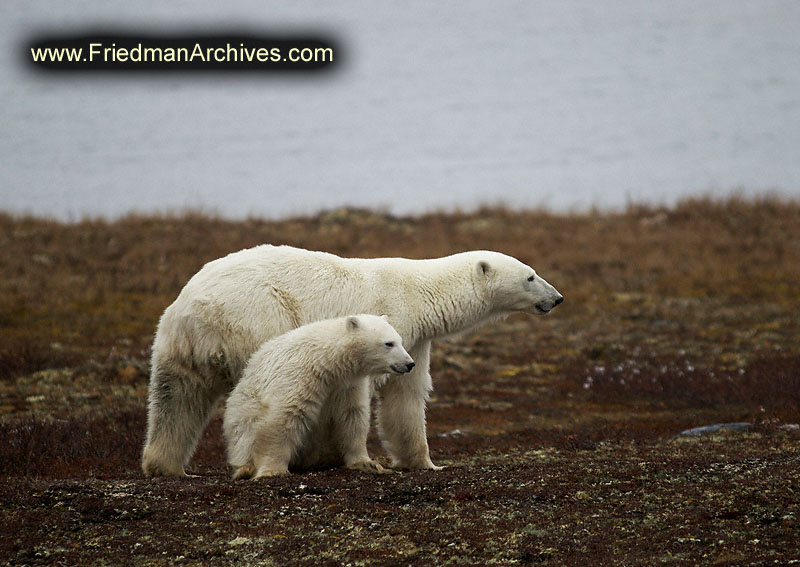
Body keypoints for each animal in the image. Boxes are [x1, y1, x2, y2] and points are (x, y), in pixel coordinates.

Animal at [141, 245, 564, 480]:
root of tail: (195, 310)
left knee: (175, 399)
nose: (557, 298)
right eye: (530, 276)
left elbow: (407, 397)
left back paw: (166, 465)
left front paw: (424, 462)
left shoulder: (414, 340)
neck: (419, 292)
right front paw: (355, 459)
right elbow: (357, 391)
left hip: (173, 344)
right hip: (258, 317)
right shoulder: (385, 321)